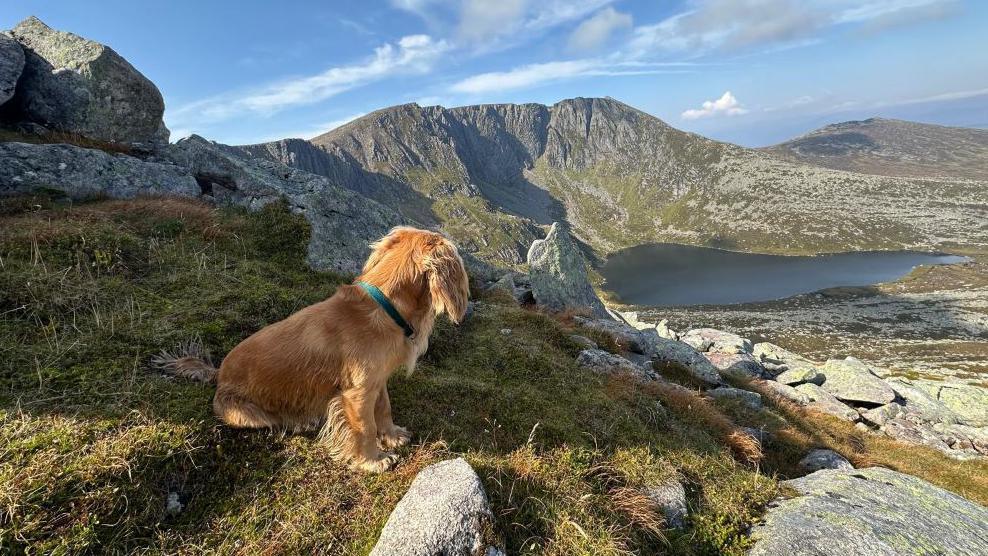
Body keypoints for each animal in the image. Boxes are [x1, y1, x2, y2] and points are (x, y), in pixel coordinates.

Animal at [157, 226, 470, 474]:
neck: (384, 307)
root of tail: (218, 372)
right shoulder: (357, 394)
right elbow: (365, 427)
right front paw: (372, 460)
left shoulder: (375, 381)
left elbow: (384, 409)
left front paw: (392, 436)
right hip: (246, 413)